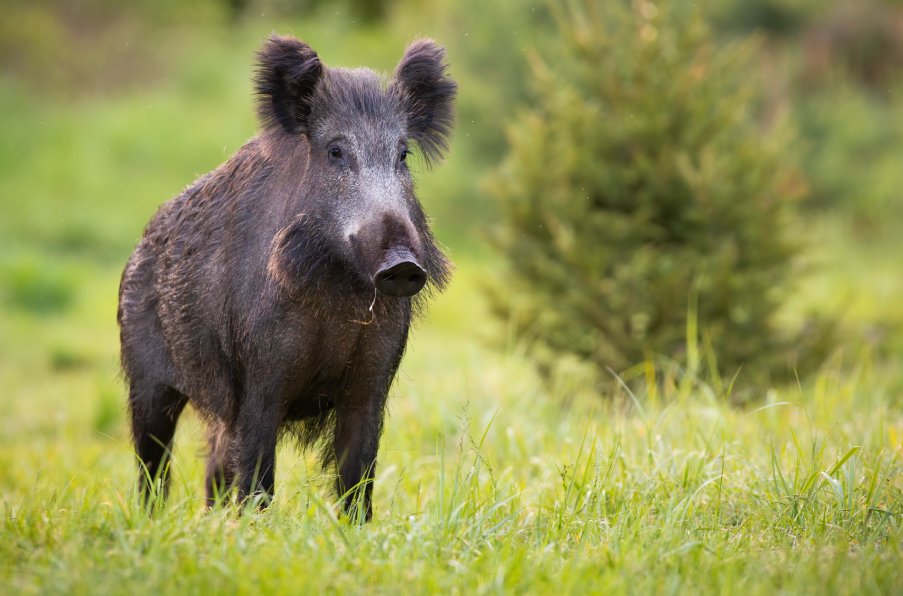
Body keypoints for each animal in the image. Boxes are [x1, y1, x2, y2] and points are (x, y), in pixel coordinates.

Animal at [117, 34, 455, 521]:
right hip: (144, 377)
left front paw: (356, 528)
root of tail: (138, 248)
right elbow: (259, 476)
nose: (403, 264)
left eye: (403, 154)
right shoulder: (258, 376)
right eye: (336, 152)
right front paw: (256, 528)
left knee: (213, 466)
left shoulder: (373, 379)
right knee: (152, 462)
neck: (337, 300)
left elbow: (358, 474)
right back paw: (152, 520)